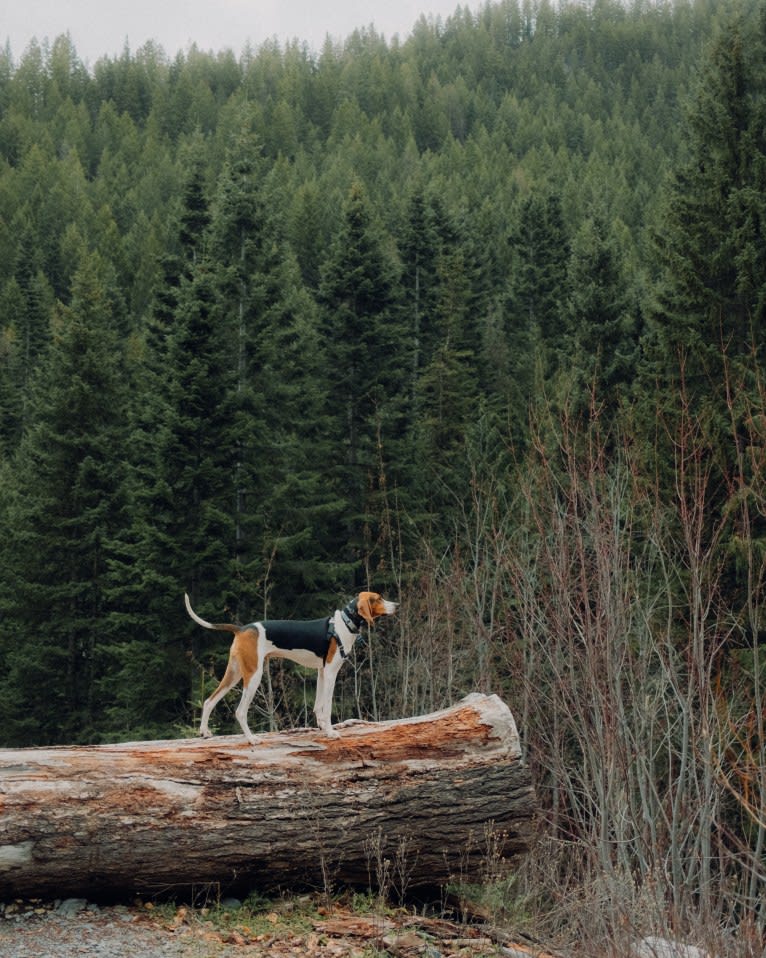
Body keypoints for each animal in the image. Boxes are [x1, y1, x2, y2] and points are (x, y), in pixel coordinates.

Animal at [184, 592, 396, 744]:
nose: (397, 605)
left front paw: (322, 728)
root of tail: (242, 628)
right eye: (378, 598)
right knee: (240, 711)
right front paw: (330, 732)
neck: (344, 623)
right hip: (253, 676)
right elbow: (327, 707)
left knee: (209, 701)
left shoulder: (321, 672)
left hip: (234, 673)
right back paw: (251, 739)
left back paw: (204, 731)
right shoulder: (330, 673)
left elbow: (318, 706)